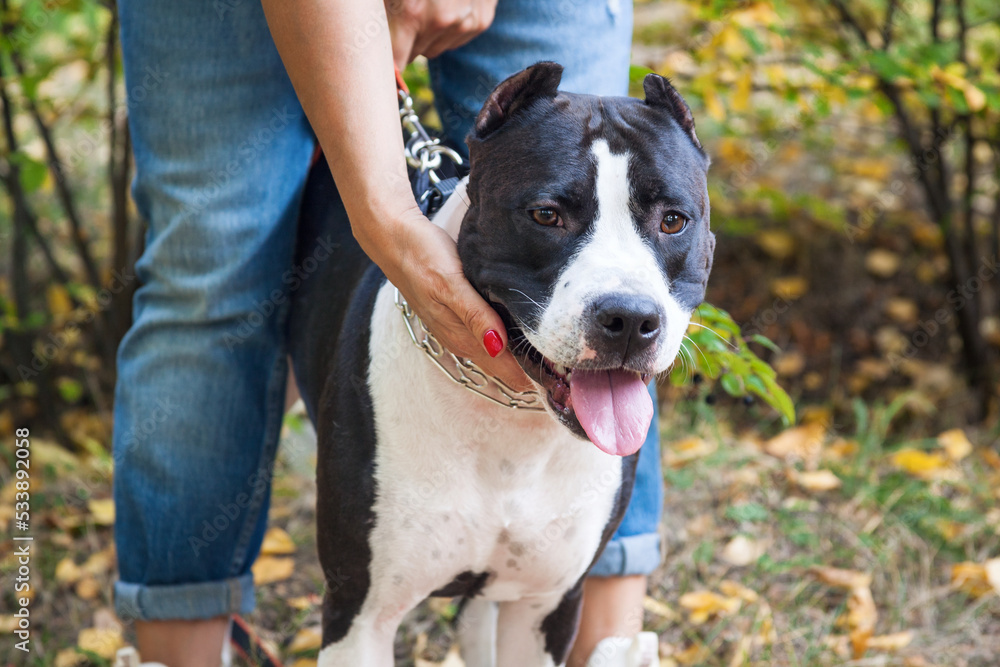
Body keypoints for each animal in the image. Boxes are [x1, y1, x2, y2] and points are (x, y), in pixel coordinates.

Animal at [286, 60, 716, 664]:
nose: (630, 319)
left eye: (674, 221)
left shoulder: (545, 606)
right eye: (546, 215)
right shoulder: (360, 615)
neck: (510, 423)